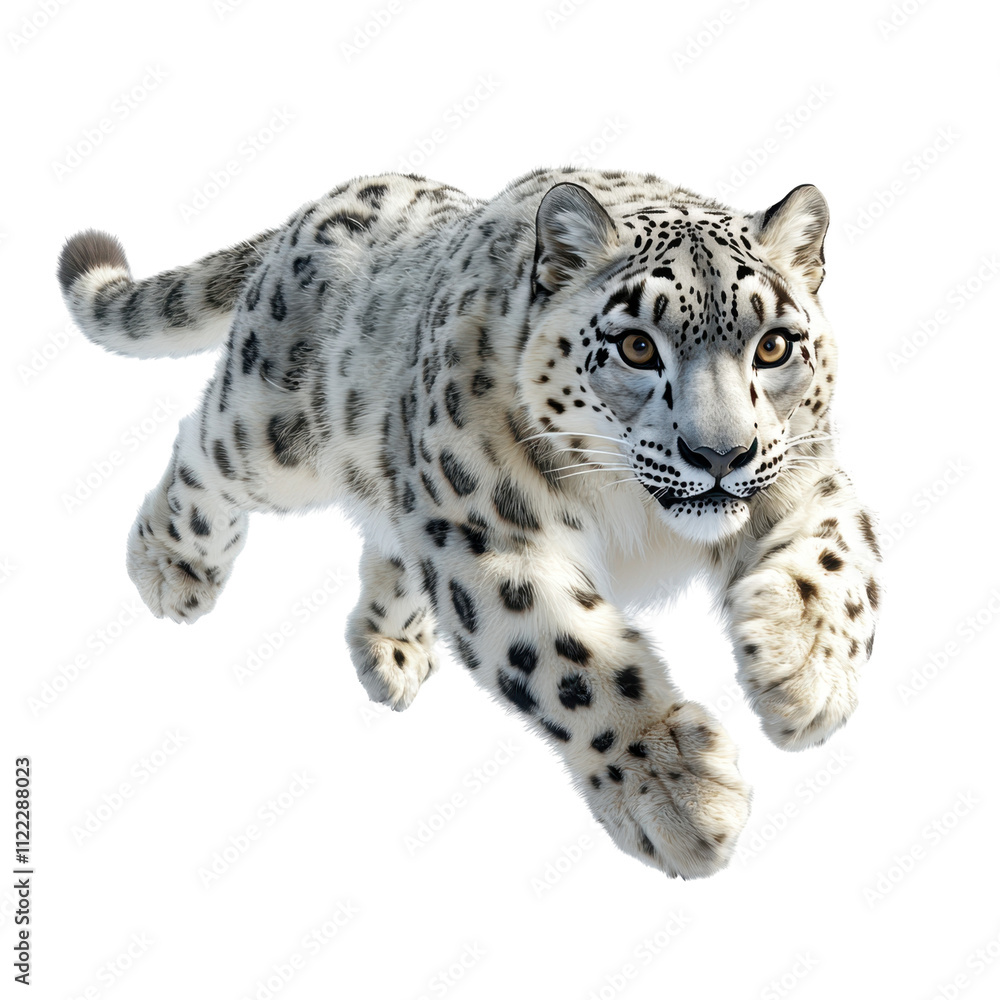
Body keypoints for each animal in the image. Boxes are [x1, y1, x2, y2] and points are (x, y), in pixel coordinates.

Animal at [57, 167, 881, 878]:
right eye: (636, 345)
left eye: (773, 344)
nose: (720, 454)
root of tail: (317, 204)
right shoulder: (489, 532)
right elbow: (570, 660)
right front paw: (681, 793)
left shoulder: (807, 471)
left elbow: (842, 561)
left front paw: (803, 675)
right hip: (273, 435)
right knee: (201, 444)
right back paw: (173, 567)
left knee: (391, 542)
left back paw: (390, 647)